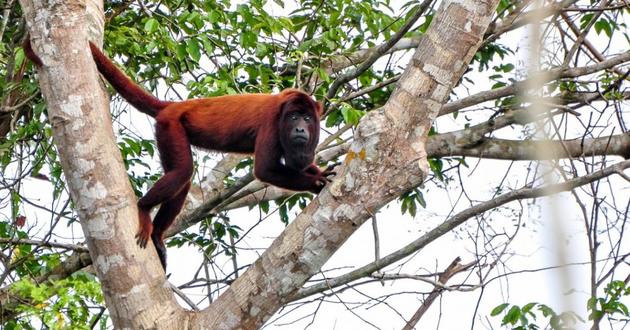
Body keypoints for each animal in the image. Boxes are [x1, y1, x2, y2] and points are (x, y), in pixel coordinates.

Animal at [23, 38, 336, 270]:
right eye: (293, 117)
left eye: (307, 118)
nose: (300, 129)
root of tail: (173, 105)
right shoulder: (272, 121)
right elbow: (266, 169)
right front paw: (316, 183)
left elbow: (300, 163)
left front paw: (318, 173)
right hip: (170, 127)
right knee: (184, 171)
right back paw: (143, 208)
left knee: (182, 179)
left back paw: (158, 235)